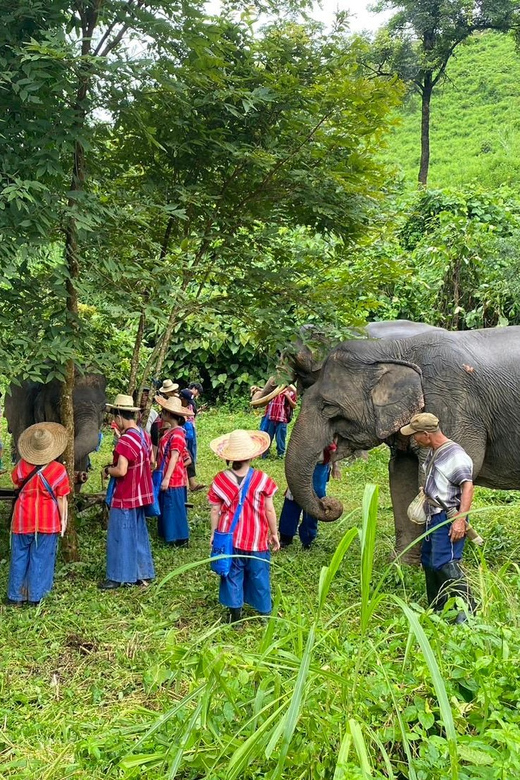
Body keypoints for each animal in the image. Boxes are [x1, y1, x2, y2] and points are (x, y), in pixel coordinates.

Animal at [284, 326, 520, 564]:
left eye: (328, 407)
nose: (328, 504)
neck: (392, 350)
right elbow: (401, 476)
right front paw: (401, 564)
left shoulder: (455, 407)